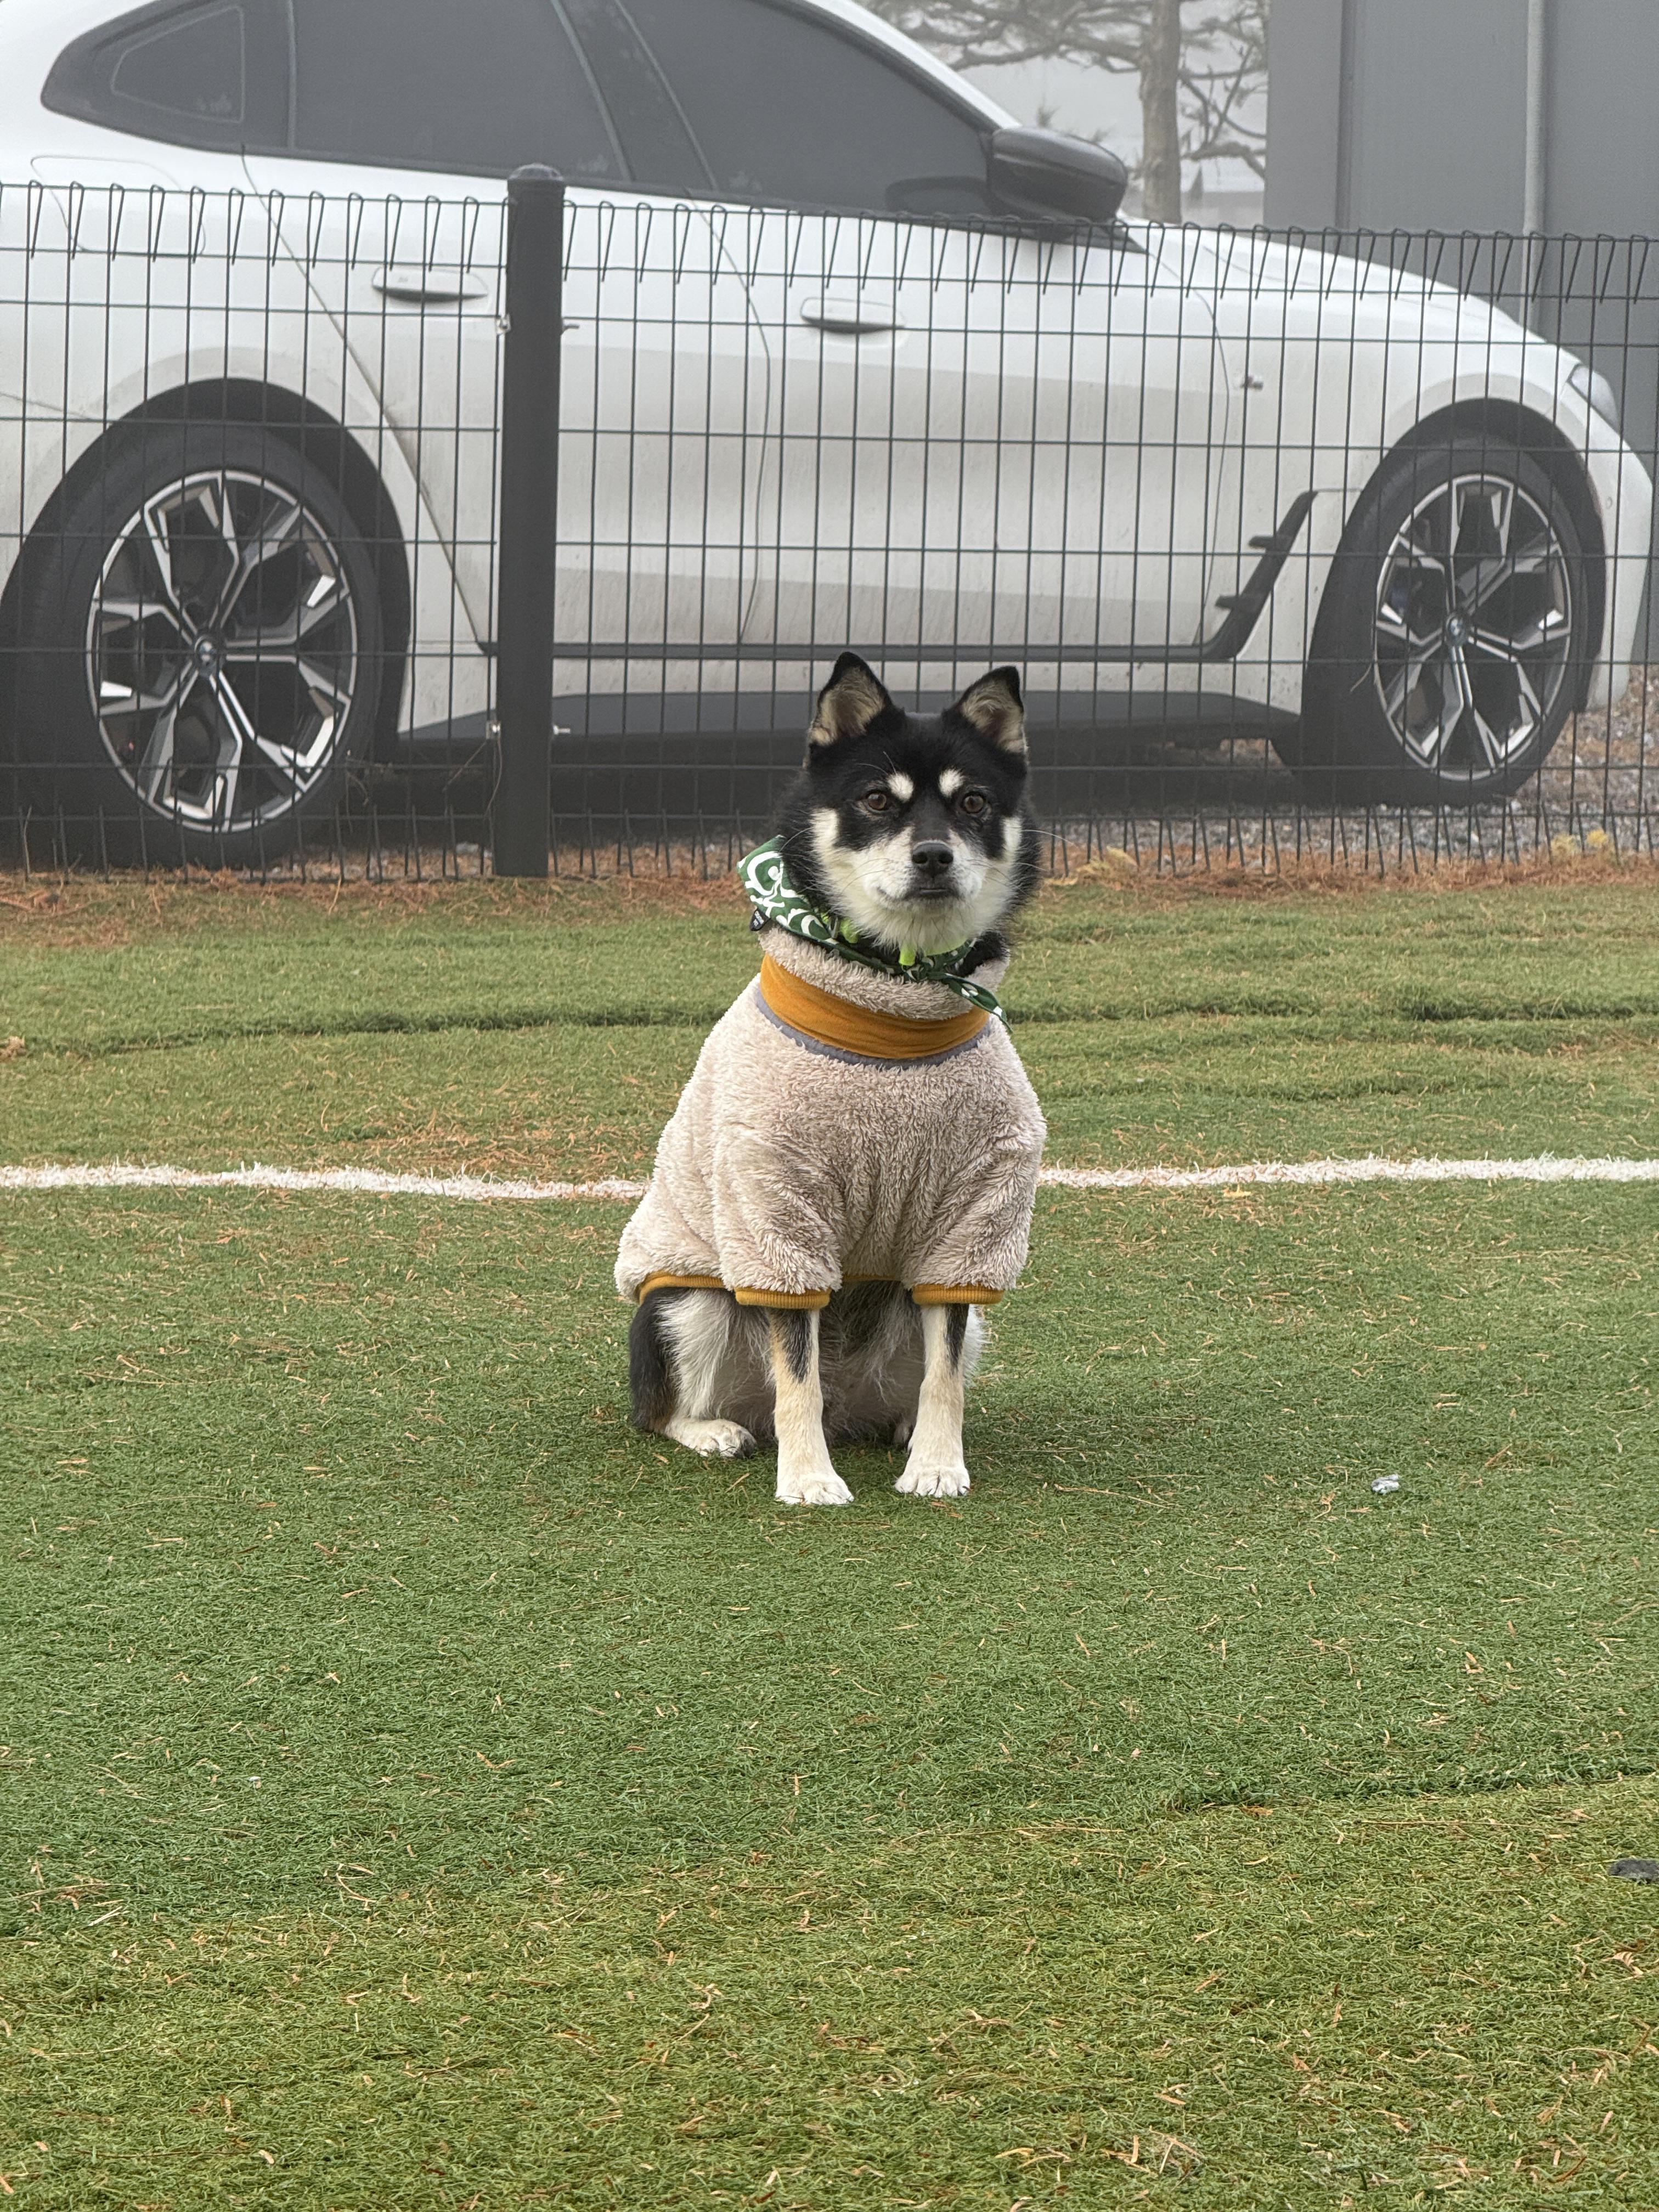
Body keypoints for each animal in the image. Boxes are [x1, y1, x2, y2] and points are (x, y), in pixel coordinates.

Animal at [615, 654, 1047, 1505]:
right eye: (877, 799)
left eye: (974, 803)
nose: (934, 855)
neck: (893, 1006)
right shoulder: (775, 1212)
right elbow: (797, 1375)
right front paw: (808, 1478)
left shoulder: (970, 1227)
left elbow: (946, 1375)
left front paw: (939, 1464)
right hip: (687, 1301)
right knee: (670, 1408)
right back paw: (715, 1430)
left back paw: (902, 1430)